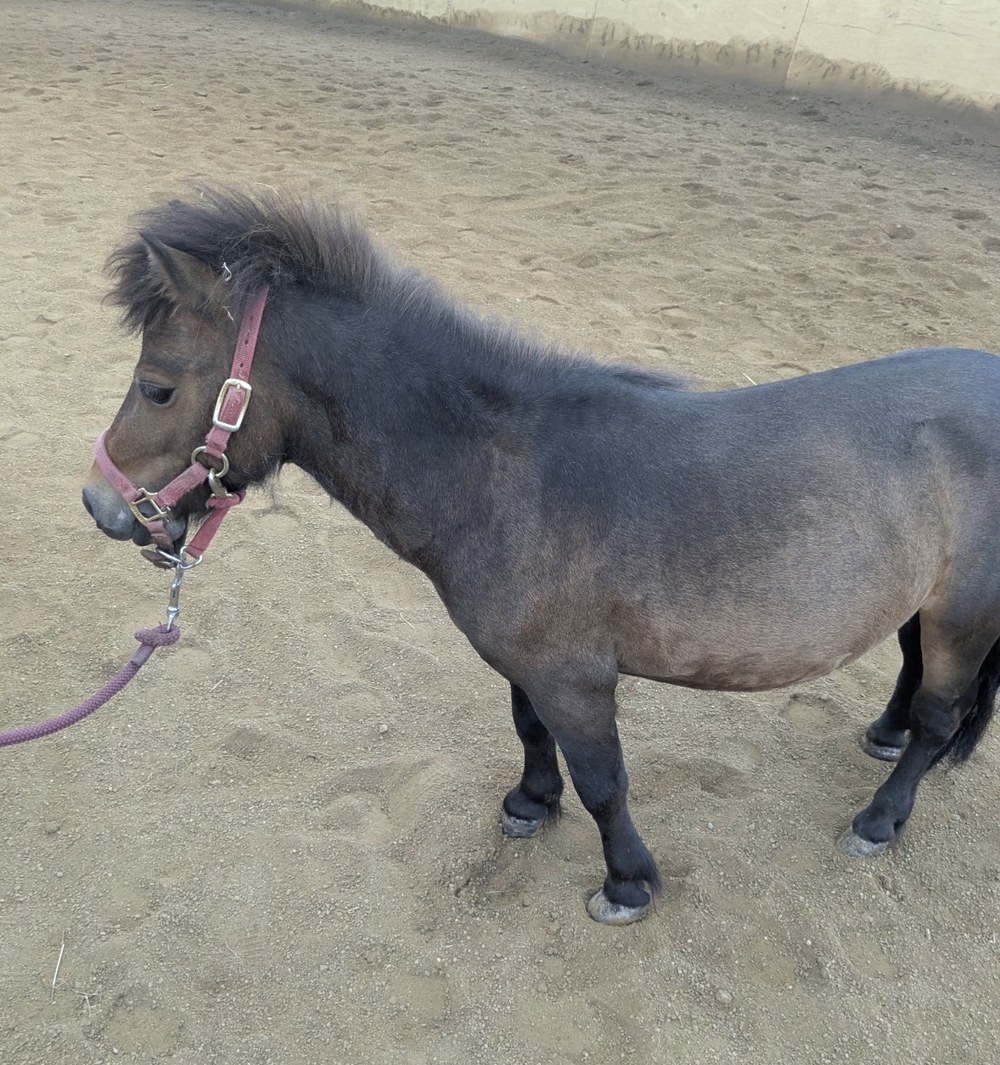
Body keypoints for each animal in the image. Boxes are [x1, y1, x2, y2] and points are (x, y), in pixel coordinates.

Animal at [82, 188, 1000, 925]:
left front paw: (627, 883)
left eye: (159, 386)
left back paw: (879, 818)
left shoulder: (576, 676)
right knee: (912, 673)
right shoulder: (528, 663)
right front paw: (530, 802)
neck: (505, 471)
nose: (99, 506)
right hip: (921, 599)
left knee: (939, 717)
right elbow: (530, 729)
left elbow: (605, 782)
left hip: (963, 615)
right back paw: (880, 734)